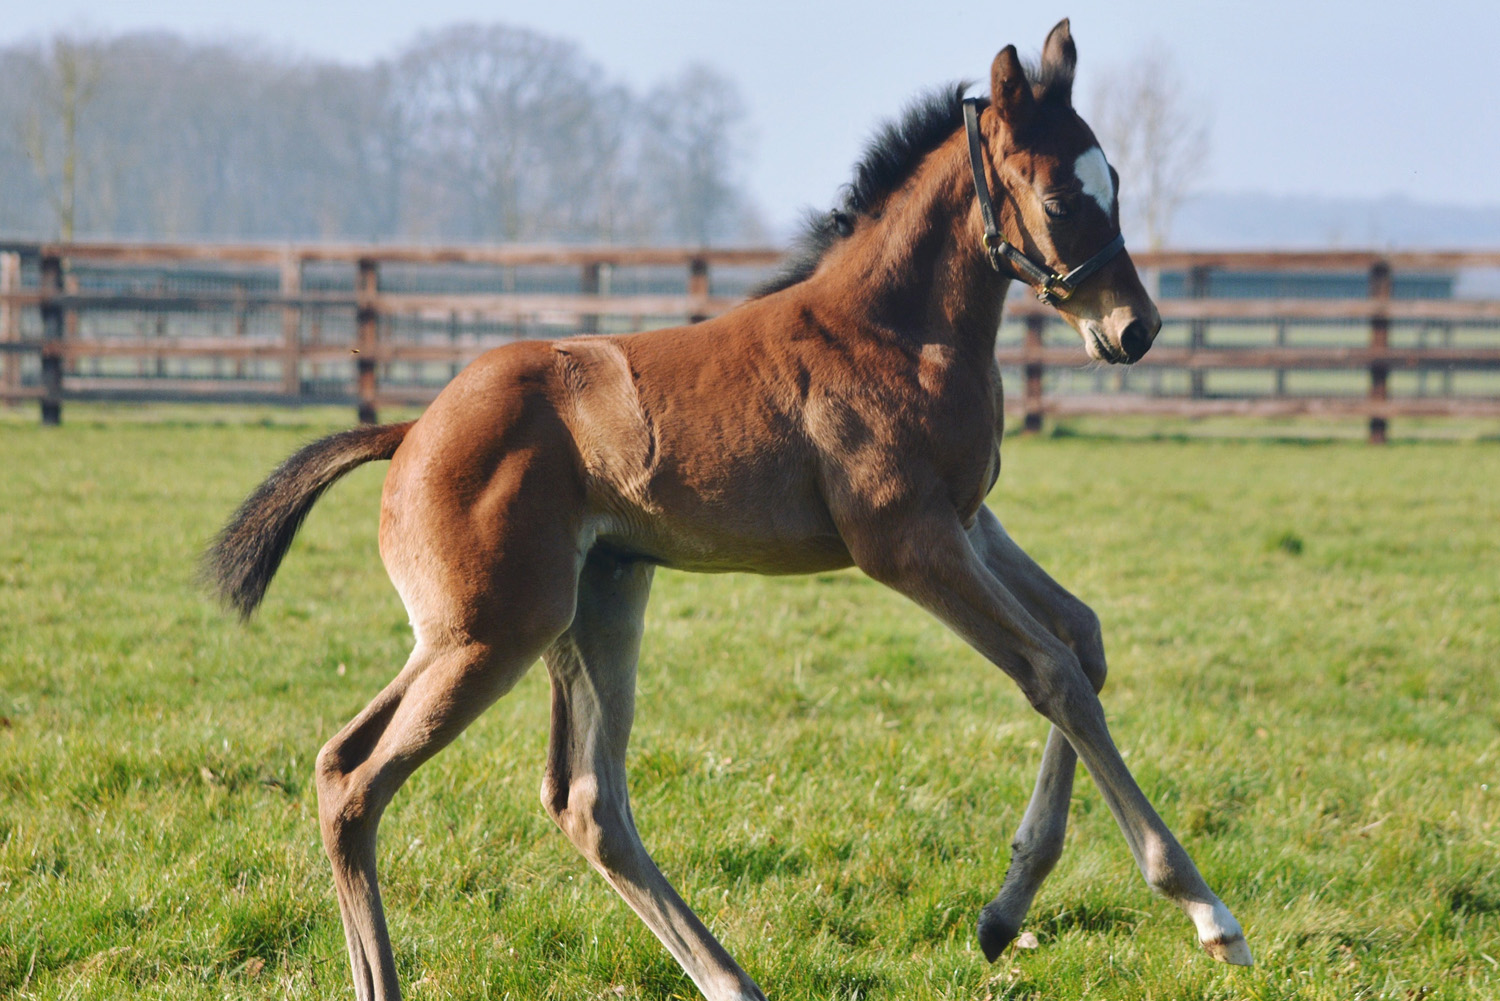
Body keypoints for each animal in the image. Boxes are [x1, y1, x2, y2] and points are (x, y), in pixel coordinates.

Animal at [205, 19, 1248, 996]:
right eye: (1065, 197)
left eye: (1115, 179)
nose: (1136, 329)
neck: (896, 330)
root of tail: (412, 429)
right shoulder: (905, 541)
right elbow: (1052, 673)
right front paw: (1204, 909)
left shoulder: (967, 521)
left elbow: (1083, 640)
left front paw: (1003, 912)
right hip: (489, 630)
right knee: (355, 778)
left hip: (589, 605)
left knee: (581, 799)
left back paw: (730, 978)